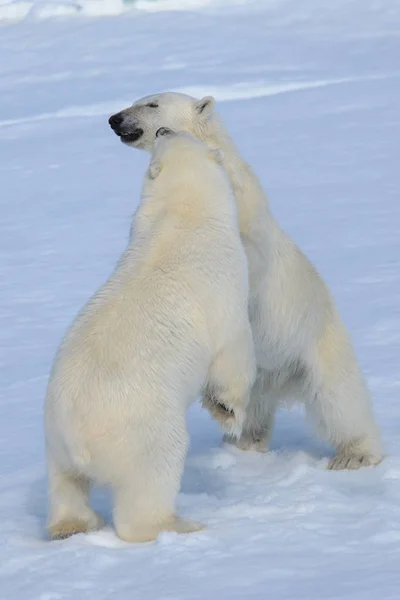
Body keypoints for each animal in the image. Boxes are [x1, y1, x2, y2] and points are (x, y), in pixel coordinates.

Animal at [43, 129, 256, 540]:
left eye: (167, 136)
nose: (162, 129)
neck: (181, 217)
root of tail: (77, 438)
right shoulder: (225, 284)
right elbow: (233, 353)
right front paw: (230, 413)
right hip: (145, 429)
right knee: (152, 477)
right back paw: (179, 524)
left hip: (53, 436)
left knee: (66, 483)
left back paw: (71, 526)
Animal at [108, 91, 382, 472]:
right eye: (138, 100)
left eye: (152, 104)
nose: (114, 119)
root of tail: (284, 380)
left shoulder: (245, 219)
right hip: (261, 374)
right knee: (252, 411)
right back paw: (243, 444)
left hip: (316, 343)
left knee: (339, 399)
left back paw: (355, 454)